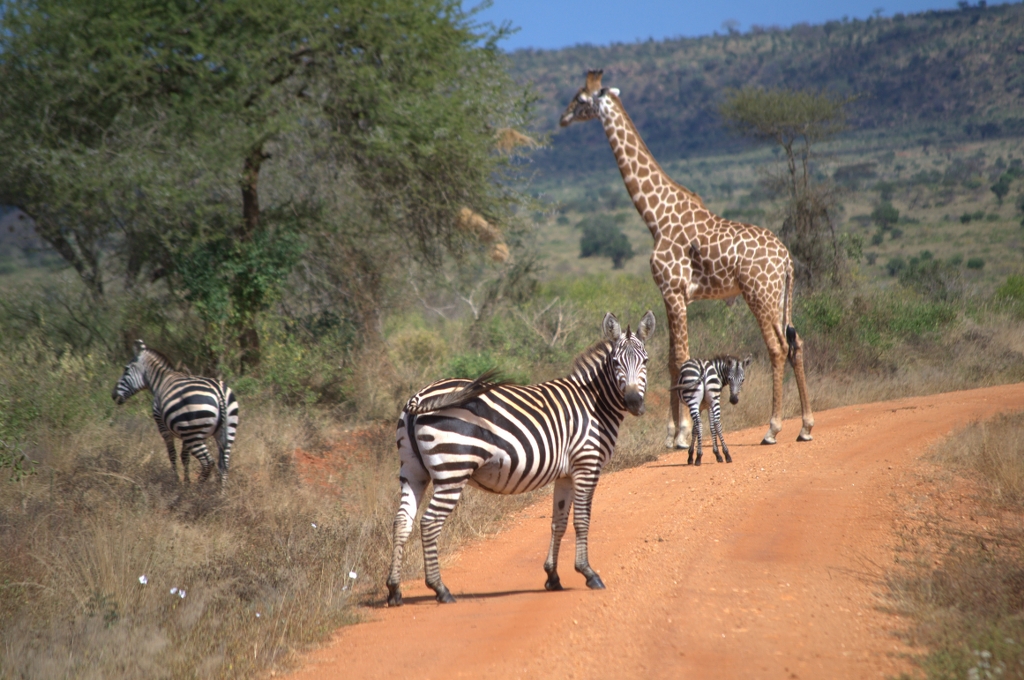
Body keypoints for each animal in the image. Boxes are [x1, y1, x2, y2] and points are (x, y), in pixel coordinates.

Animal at [112, 340, 239, 483]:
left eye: (126, 369)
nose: (113, 395)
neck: (160, 381)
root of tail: (219, 392)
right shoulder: (185, 431)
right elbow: (185, 457)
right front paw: (186, 482)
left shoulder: (164, 427)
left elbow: (172, 454)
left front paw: (177, 480)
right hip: (225, 431)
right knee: (224, 465)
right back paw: (220, 490)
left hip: (194, 435)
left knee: (208, 462)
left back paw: (199, 487)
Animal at [385, 309, 655, 606]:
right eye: (616, 362)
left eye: (645, 361)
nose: (634, 403)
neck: (593, 403)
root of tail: (419, 397)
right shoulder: (587, 464)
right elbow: (582, 519)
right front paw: (588, 573)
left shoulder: (565, 473)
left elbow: (558, 522)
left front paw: (553, 577)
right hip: (452, 469)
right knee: (430, 522)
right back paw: (440, 589)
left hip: (413, 470)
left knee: (402, 521)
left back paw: (394, 590)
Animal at [561, 70, 815, 446]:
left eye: (580, 99)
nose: (562, 119)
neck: (655, 215)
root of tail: (786, 260)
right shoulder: (673, 294)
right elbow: (670, 357)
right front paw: (673, 432)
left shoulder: (673, 289)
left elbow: (678, 357)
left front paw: (681, 433)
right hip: (782, 296)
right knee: (797, 342)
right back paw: (806, 426)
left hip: (760, 295)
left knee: (778, 347)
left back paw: (773, 428)